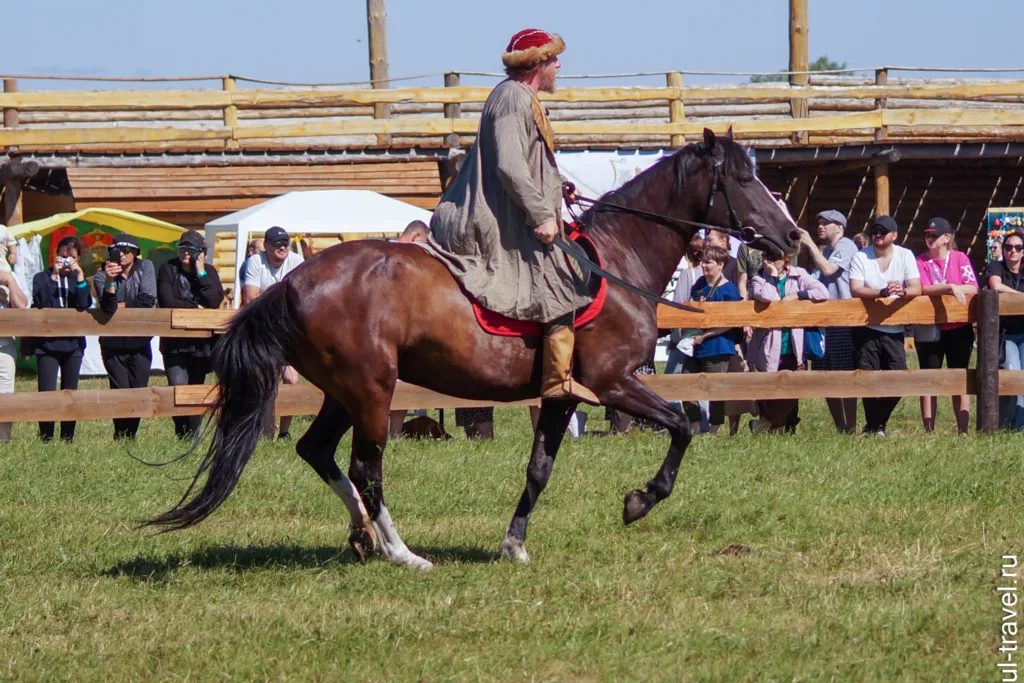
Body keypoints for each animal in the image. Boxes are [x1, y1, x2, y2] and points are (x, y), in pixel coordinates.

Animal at [146, 131, 798, 569]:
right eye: (745, 180)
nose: (792, 237)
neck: (616, 261)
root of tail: (295, 280)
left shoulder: (562, 396)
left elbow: (539, 468)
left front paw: (514, 543)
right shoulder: (611, 381)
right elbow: (683, 425)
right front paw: (640, 500)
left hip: (342, 391)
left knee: (318, 451)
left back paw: (362, 536)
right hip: (372, 391)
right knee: (365, 466)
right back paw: (402, 552)